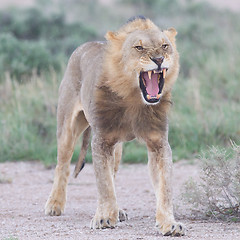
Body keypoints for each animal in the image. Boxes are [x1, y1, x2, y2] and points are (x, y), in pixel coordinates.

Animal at [44, 16, 185, 236]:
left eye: (165, 46)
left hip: (117, 149)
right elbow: (104, 184)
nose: (159, 59)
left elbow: (165, 187)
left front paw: (169, 224)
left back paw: (117, 211)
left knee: (113, 171)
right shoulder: (101, 141)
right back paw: (54, 205)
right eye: (138, 47)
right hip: (67, 127)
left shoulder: (158, 143)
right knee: (62, 166)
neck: (134, 99)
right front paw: (103, 218)